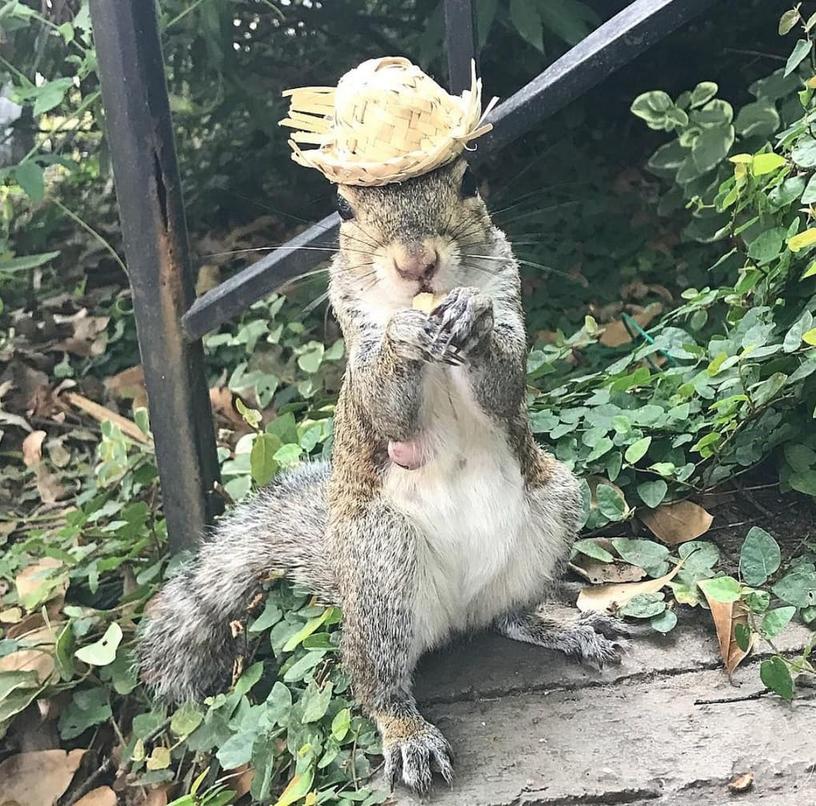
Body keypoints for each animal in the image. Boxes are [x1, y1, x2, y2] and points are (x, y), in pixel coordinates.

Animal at [137, 156, 628, 796]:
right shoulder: (356, 330)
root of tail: (455, 616)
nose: (416, 263)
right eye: (342, 208)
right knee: (375, 681)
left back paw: (565, 627)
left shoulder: (508, 291)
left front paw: (472, 314)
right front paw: (403, 337)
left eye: (469, 181)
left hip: (556, 504)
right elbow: (382, 402)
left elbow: (505, 381)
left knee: (511, 616)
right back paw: (408, 734)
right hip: (382, 562)